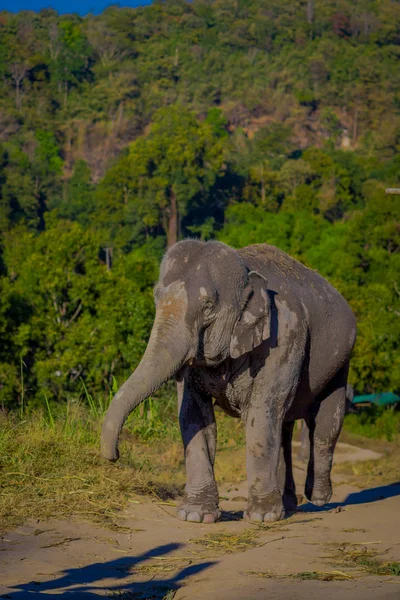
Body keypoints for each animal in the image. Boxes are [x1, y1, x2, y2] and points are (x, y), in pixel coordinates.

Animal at [101, 241, 356, 524]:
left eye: (208, 306)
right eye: (157, 297)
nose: (114, 456)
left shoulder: (285, 335)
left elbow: (262, 412)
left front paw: (261, 517)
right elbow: (193, 415)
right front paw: (195, 515)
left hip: (340, 362)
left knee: (324, 424)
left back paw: (318, 498)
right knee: (284, 429)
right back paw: (288, 506)